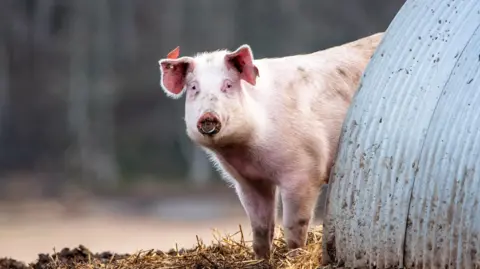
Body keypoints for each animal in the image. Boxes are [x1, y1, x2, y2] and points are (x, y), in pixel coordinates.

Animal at [159, 32, 384, 258]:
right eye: (194, 88)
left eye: (228, 85)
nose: (208, 116)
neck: (246, 150)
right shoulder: (249, 182)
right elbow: (260, 228)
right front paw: (261, 258)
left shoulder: (304, 173)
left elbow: (294, 226)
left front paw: (294, 256)